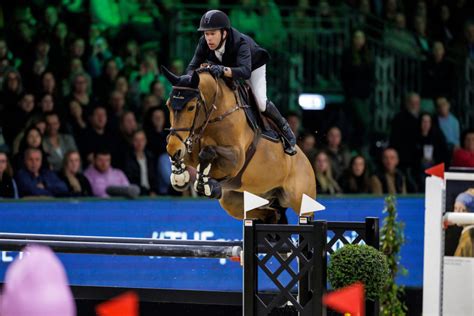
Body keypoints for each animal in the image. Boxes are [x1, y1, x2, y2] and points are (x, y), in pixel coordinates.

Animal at [162, 67, 314, 223]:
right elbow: (181, 154)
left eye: (191, 107)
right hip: (236, 200)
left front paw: (205, 185)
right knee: (272, 214)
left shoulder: (236, 159)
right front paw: (179, 176)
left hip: (301, 200)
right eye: (168, 105)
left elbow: (207, 152)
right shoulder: (188, 147)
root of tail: (306, 160)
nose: (174, 148)